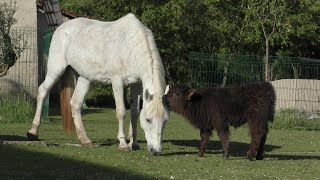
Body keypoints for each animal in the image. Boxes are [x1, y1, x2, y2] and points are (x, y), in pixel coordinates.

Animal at [26, 13, 170, 155]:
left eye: (165, 120)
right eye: (148, 119)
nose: (156, 151)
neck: (130, 46)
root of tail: (61, 28)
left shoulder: (137, 85)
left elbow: (134, 112)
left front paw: (133, 144)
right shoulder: (117, 81)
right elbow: (121, 111)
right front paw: (123, 144)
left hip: (84, 78)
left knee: (75, 104)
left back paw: (85, 140)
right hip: (56, 69)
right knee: (43, 91)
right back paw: (33, 132)